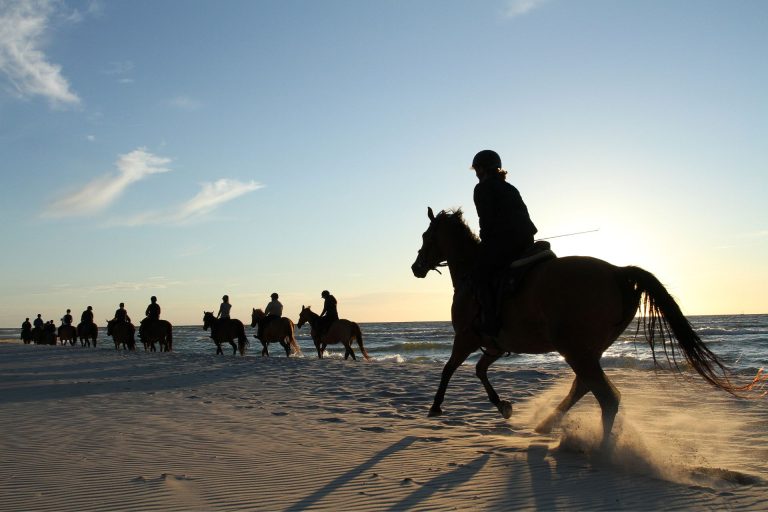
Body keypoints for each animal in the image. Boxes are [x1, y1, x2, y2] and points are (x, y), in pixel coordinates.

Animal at [412, 208, 760, 444]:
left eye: (427, 237)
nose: (416, 267)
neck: (472, 274)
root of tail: (618, 271)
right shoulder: (495, 345)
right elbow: (480, 370)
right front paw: (503, 406)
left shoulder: (466, 338)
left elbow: (449, 369)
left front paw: (436, 406)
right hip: (587, 349)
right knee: (586, 386)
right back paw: (549, 425)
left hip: (574, 348)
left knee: (605, 396)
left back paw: (602, 451)